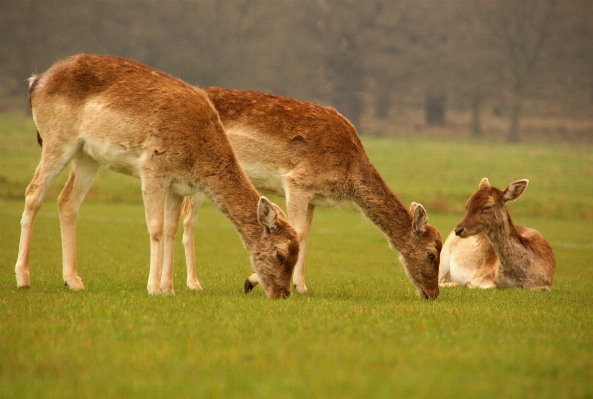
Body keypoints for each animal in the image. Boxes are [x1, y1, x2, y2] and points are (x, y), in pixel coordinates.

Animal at [13, 54, 300, 296]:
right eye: (281, 255)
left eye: (297, 256)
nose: (283, 294)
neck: (198, 152)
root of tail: (36, 81)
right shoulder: (153, 168)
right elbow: (156, 227)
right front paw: (153, 287)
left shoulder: (178, 185)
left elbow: (171, 229)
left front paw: (168, 289)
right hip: (57, 137)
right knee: (33, 192)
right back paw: (23, 278)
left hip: (88, 155)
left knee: (67, 201)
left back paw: (73, 280)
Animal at [179, 88, 440, 300]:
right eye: (431, 255)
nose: (433, 294)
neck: (349, 170)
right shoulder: (297, 182)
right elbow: (298, 231)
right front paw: (252, 282)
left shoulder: (314, 197)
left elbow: (306, 235)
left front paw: (301, 286)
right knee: (189, 221)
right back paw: (194, 284)